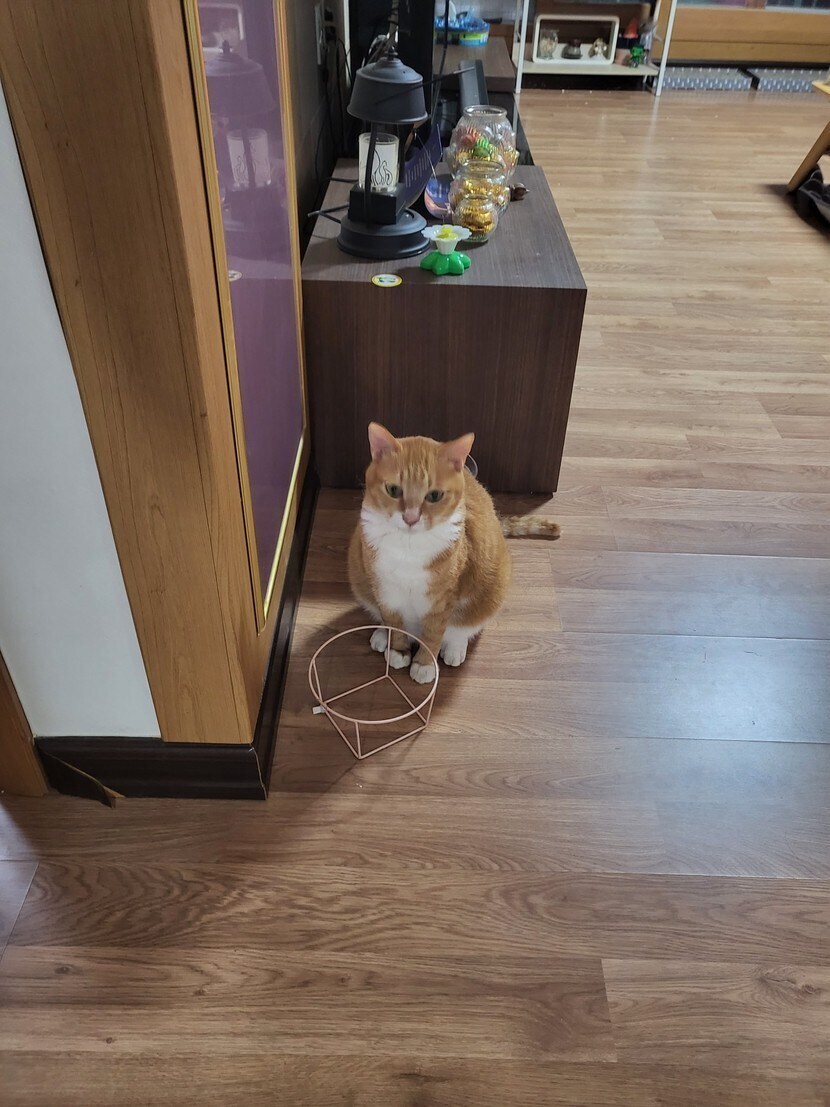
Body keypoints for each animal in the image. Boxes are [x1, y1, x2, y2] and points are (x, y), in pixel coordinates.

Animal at [348, 423, 560, 684]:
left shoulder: (442, 599)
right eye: (393, 490)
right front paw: (398, 650)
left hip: (488, 594)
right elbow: (394, 621)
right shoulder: (385, 589)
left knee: (463, 628)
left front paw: (424, 664)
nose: (410, 518)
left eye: (434, 495)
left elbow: (434, 634)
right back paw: (381, 635)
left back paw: (454, 649)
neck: (408, 547)